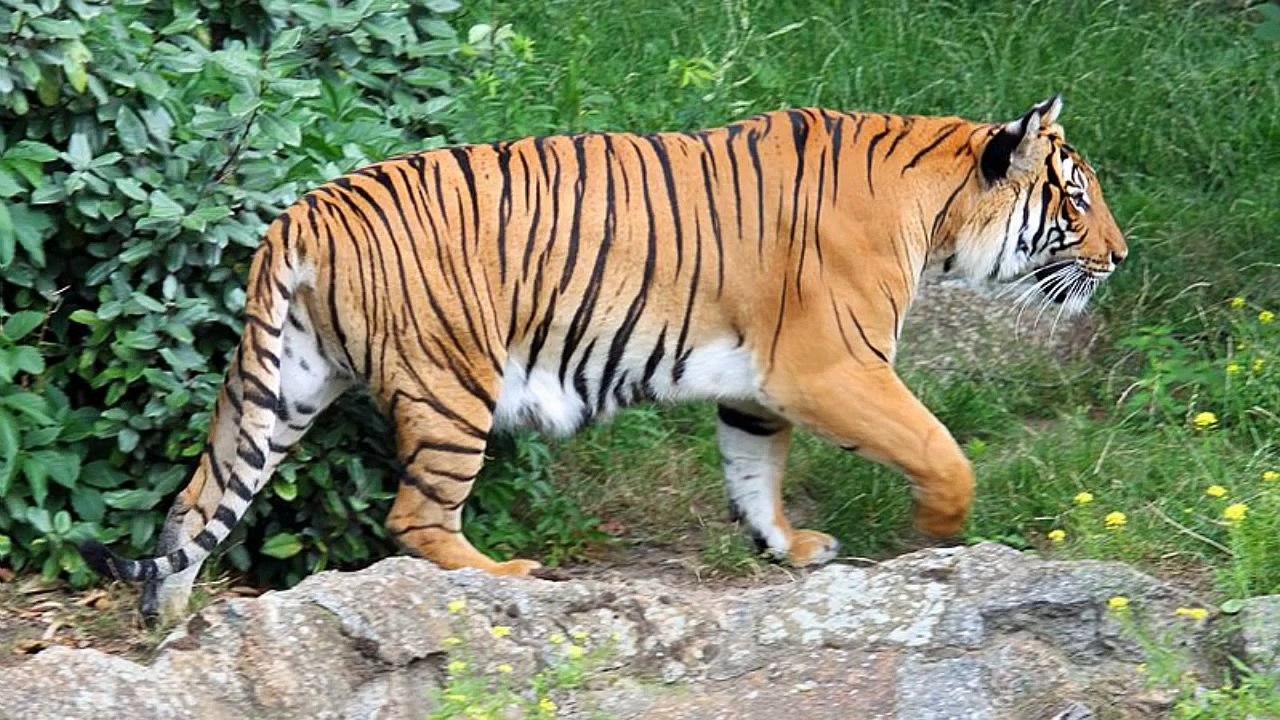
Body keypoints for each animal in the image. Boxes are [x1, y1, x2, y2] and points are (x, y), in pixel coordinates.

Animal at [81, 96, 1127, 621]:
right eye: (1075, 200)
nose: (1119, 257)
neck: (935, 210)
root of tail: (303, 211)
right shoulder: (833, 368)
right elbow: (941, 449)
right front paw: (936, 537)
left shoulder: (759, 389)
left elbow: (754, 474)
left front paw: (788, 547)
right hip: (453, 387)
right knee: (415, 517)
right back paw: (510, 576)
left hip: (283, 389)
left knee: (196, 504)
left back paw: (165, 621)